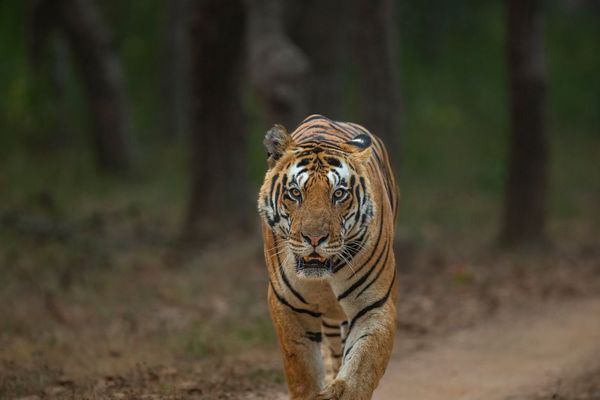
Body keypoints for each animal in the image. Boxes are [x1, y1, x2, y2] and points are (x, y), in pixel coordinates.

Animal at [256, 114, 398, 398]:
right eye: (295, 193)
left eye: (339, 194)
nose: (314, 239)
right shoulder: (289, 307)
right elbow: (304, 373)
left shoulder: (373, 306)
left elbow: (359, 372)